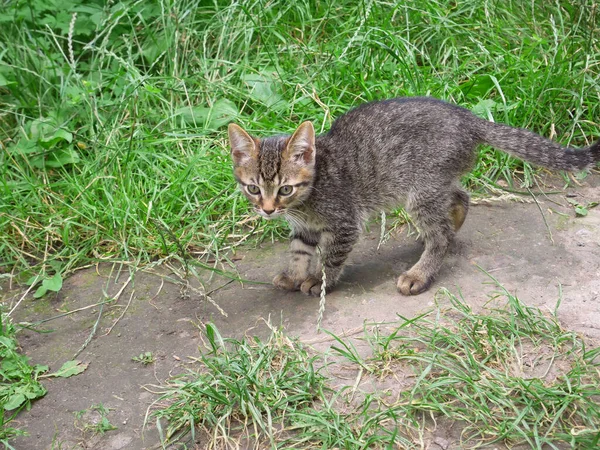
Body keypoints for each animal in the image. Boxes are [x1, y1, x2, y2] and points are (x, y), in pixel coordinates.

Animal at [226, 96, 600, 296]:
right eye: (253, 188)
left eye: (285, 188)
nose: (268, 210)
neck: (307, 199)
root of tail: (466, 116)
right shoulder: (303, 229)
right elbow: (299, 251)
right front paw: (294, 274)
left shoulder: (344, 222)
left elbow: (331, 258)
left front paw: (320, 281)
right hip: (433, 185)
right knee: (460, 196)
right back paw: (449, 226)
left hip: (420, 190)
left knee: (442, 234)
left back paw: (421, 272)